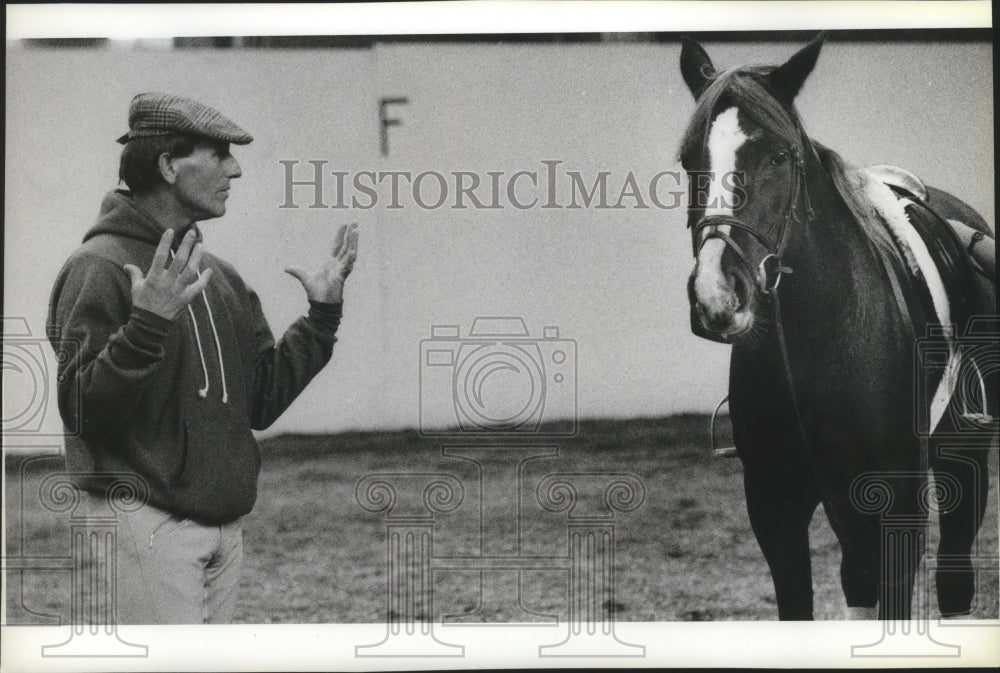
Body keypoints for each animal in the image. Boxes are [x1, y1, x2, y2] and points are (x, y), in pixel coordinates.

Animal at [676, 32, 996, 620]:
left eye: (780, 156)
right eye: (689, 161)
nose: (716, 296)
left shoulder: (898, 508)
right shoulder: (775, 508)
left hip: (964, 458)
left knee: (954, 579)